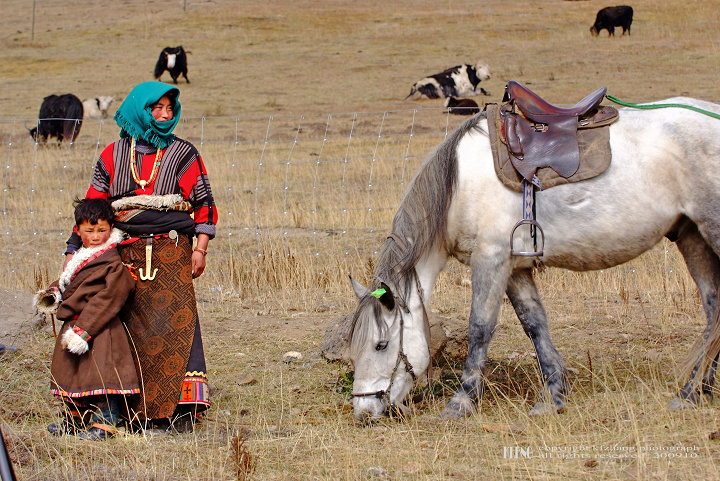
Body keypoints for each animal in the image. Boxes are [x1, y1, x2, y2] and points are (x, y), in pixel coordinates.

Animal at [348, 96, 720, 420]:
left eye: (380, 345)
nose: (364, 412)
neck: (459, 187)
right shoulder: (515, 269)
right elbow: (534, 323)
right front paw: (553, 394)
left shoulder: (491, 260)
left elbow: (480, 328)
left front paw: (461, 402)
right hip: (692, 237)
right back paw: (695, 391)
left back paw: (693, 390)